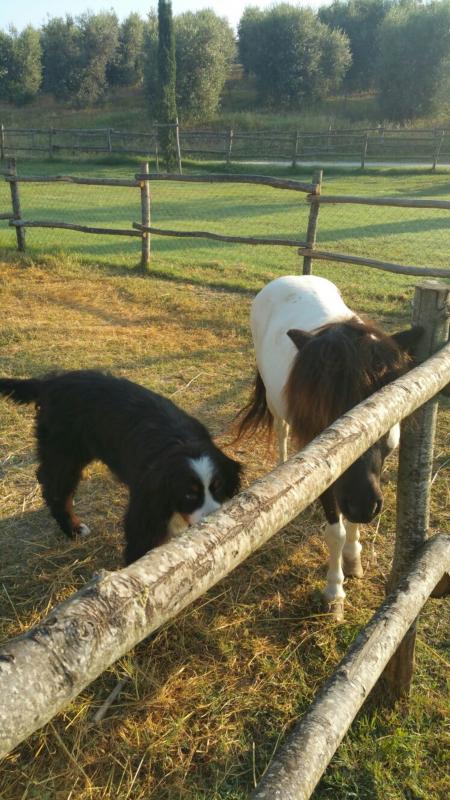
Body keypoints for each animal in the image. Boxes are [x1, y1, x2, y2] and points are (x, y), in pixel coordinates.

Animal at [0, 368, 241, 564]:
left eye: (218, 487)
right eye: (189, 494)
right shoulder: (145, 510)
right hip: (65, 456)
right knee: (57, 491)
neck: (181, 441)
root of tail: (51, 382)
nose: (214, 521)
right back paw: (74, 529)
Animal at [237, 278, 424, 608]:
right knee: (282, 431)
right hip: (274, 403)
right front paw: (334, 591)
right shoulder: (326, 466)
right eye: (323, 407)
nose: (362, 504)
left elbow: (351, 524)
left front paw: (353, 557)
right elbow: (335, 533)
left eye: (380, 402)